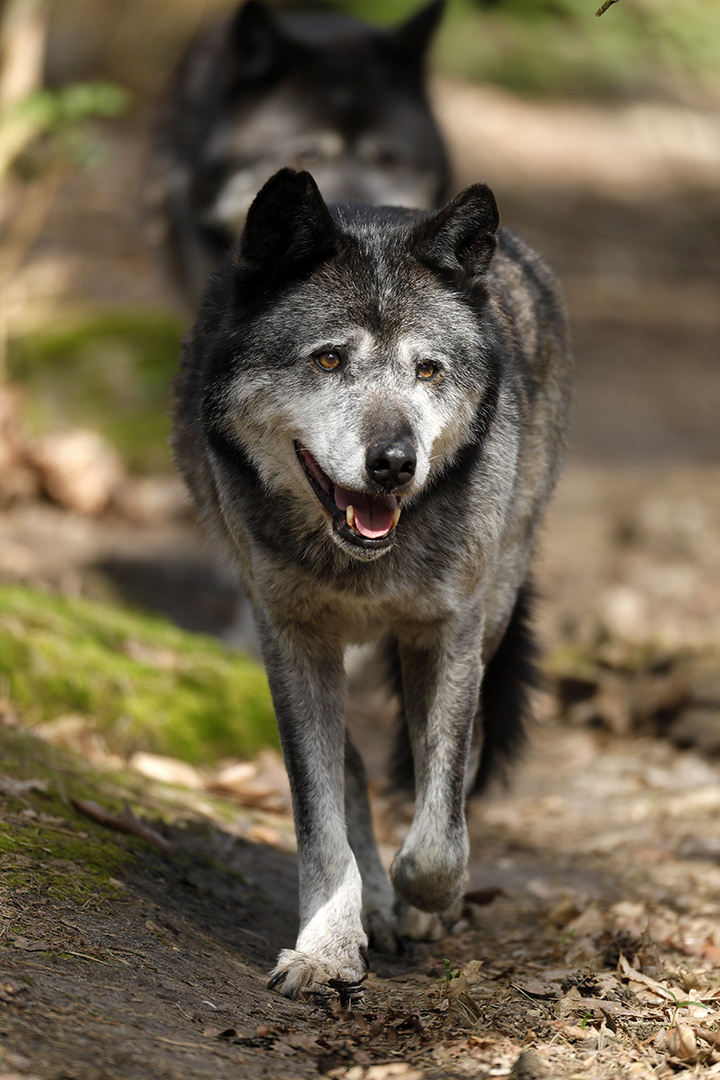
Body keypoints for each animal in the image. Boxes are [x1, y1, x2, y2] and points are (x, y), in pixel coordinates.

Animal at [172, 164, 574, 997]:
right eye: (329, 360)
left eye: (428, 370)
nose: (395, 463)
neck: (363, 564)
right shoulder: (290, 642)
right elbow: (319, 816)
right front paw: (329, 946)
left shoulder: (448, 635)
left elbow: (438, 833)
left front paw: (422, 903)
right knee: (351, 769)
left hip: (494, 606)